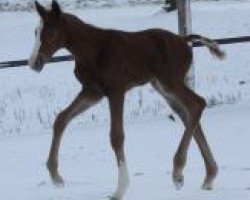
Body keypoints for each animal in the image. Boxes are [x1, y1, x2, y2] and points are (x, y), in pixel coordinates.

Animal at [28, 0, 225, 199]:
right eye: (36, 32)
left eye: (50, 31)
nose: (34, 63)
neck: (94, 50)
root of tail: (183, 39)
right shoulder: (92, 92)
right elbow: (61, 119)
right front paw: (56, 176)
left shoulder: (116, 91)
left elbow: (116, 136)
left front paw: (120, 189)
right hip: (162, 88)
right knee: (188, 114)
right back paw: (208, 176)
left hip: (171, 83)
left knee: (197, 104)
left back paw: (178, 173)